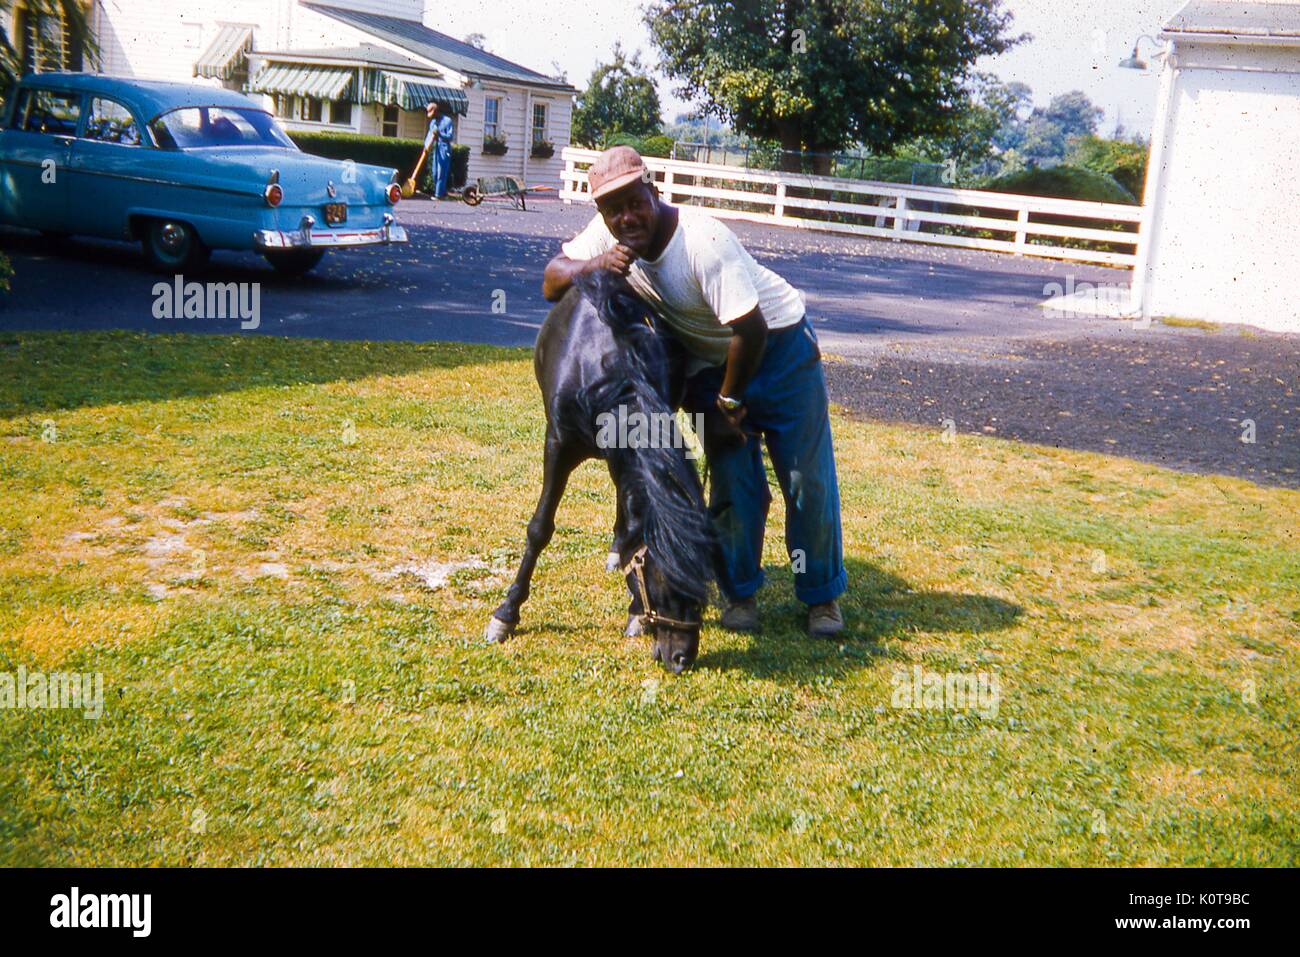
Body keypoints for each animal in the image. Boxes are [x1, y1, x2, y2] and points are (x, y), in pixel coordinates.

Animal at [486, 269, 717, 670]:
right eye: (665, 579)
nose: (682, 658)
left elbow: (632, 528)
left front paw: (635, 613)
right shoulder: (558, 445)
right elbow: (539, 529)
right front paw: (506, 614)